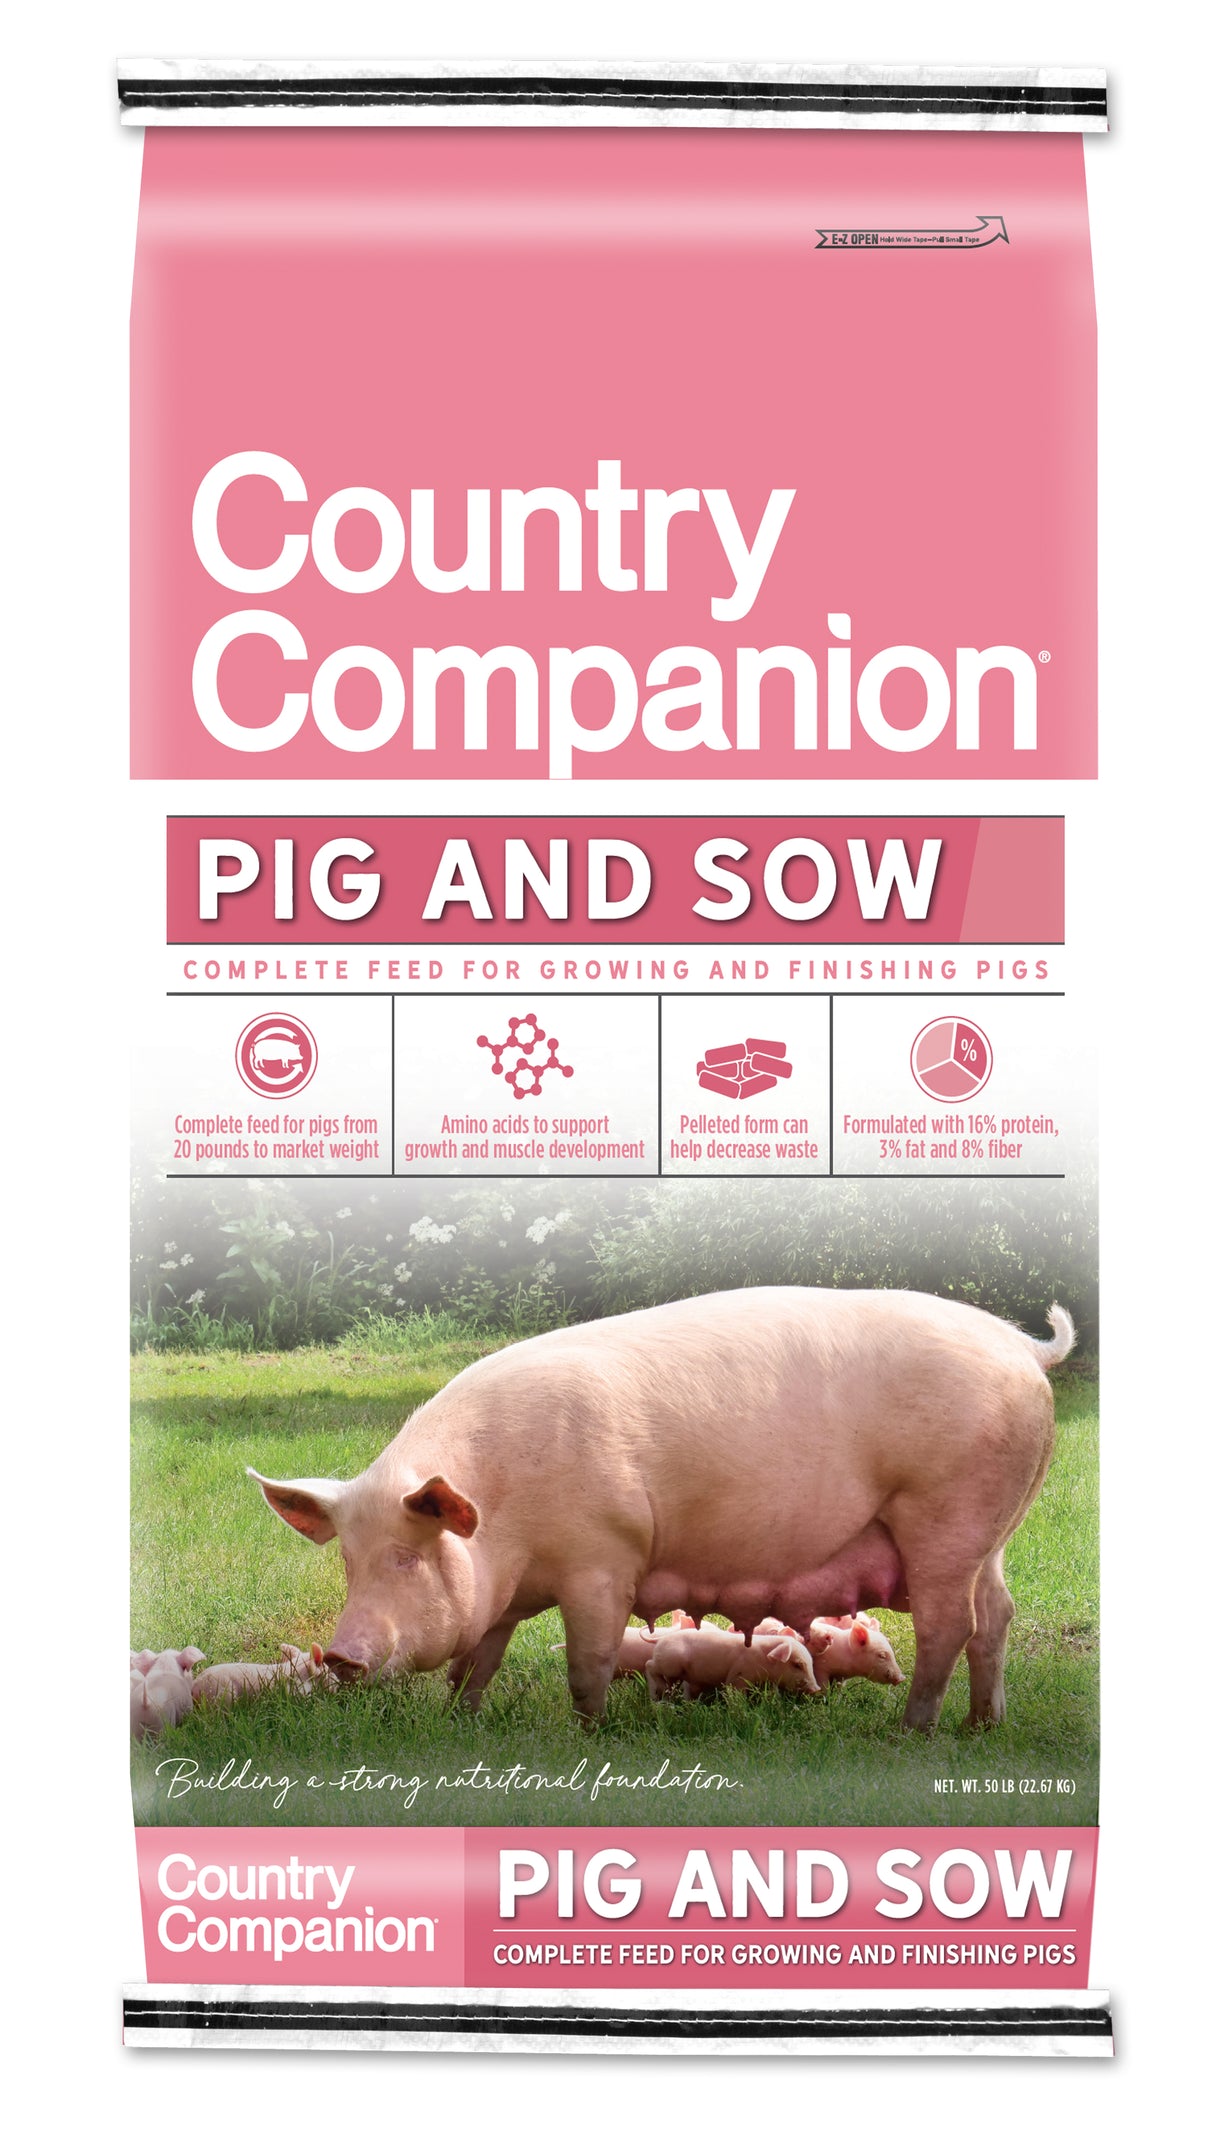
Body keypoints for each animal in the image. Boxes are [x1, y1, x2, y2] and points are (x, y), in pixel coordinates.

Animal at [248, 1287, 1074, 1732]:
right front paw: (460, 1720)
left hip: (945, 1513)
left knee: (950, 1624)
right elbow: (478, 1657)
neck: (505, 1521)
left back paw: (910, 1733)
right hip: (992, 1531)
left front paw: (591, 1733)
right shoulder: (507, 1593)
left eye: (408, 1554)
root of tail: (1024, 1348)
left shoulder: (602, 1556)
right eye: (349, 1560)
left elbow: (587, 1660)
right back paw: (980, 1726)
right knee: (996, 1616)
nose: (341, 1655)